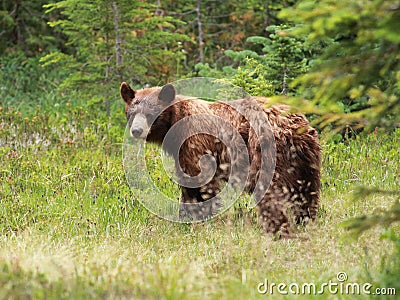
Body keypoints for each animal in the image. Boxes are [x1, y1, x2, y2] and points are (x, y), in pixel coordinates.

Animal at [120, 81, 320, 237]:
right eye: (132, 112)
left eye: (151, 114)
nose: (136, 130)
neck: (174, 128)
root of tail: (295, 124)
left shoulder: (195, 144)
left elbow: (198, 183)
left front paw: (196, 217)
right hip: (306, 158)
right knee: (308, 189)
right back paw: (305, 219)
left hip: (266, 151)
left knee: (271, 189)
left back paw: (276, 227)